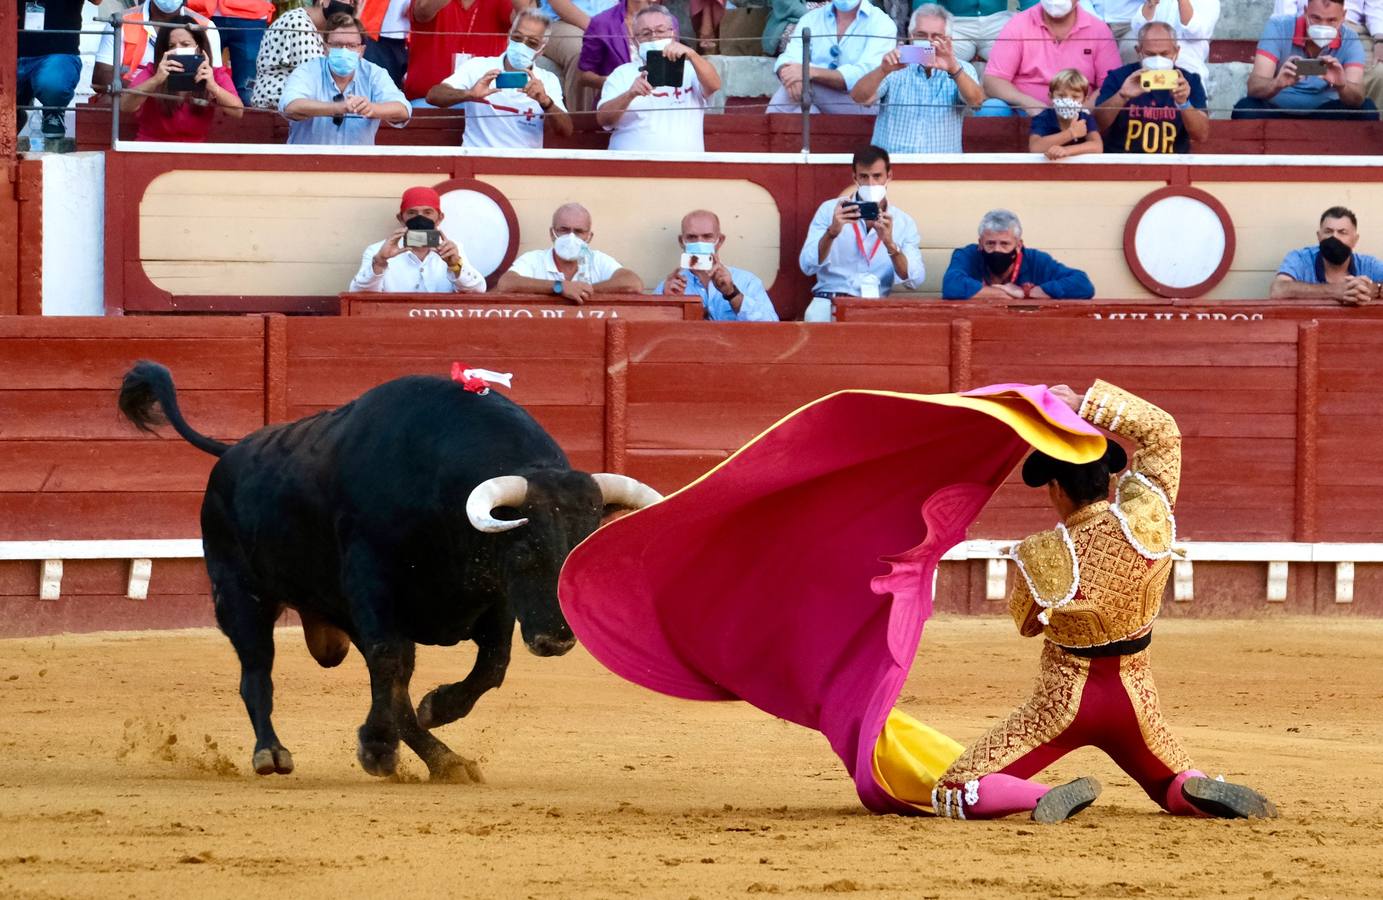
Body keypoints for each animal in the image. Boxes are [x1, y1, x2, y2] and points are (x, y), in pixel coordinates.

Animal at [117, 364, 658, 779]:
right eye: (526, 554)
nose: (557, 639)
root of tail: (230, 453)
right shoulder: (374, 587)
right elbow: (392, 667)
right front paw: (397, 751)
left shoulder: (495, 599)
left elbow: (488, 667)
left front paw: (433, 713)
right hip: (240, 596)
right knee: (257, 674)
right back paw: (272, 753)